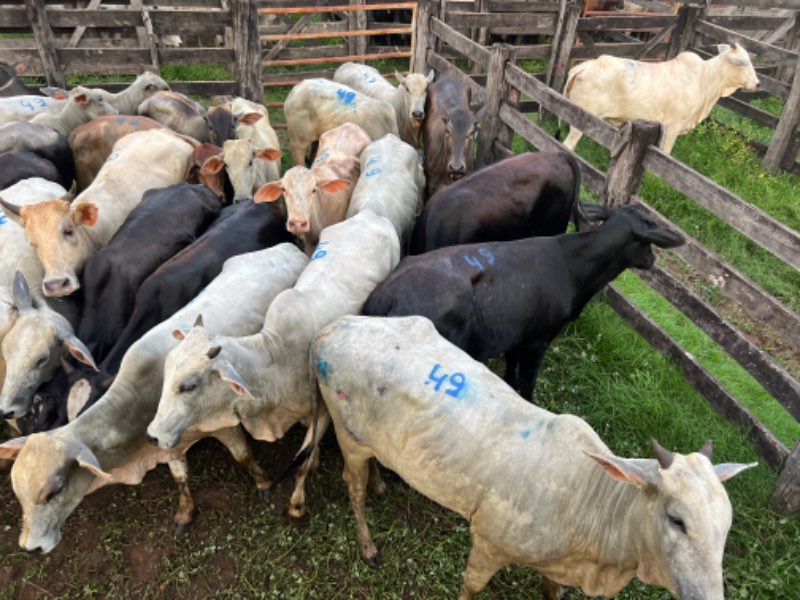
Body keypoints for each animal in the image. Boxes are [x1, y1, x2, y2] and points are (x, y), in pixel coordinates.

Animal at [0, 244, 309, 554]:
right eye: (19, 494)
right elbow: (179, 476)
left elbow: (242, 456)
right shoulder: (164, 440)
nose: (31, 547)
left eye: (54, 491)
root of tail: (286, 248)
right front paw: (185, 513)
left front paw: (264, 483)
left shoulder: (223, 423)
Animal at [146, 210, 401, 519]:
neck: (275, 361)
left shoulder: (323, 412)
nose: (153, 436)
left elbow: (302, 463)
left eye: (189, 385)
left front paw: (297, 504)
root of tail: (369, 215)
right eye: (166, 370)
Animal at [308, 314, 757, 599]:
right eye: (676, 520)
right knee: (353, 488)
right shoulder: (489, 541)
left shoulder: (560, 571)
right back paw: (368, 544)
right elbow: (471, 587)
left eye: (726, 528)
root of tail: (331, 328)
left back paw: (382, 485)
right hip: (349, 437)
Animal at [363, 203, 685, 399]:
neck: (574, 268)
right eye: (647, 237)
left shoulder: (518, 332)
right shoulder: (538, 340)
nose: (652, 260)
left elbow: (511, 367)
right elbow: (528, 380)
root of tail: (382, 296)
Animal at [562, 43, 760, 154]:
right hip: (581, 120)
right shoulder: (672, 127)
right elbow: (666, 153)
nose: (757, 84)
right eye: (743, 63)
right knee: (567, 145)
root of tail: (584, 67)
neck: (705, 78)